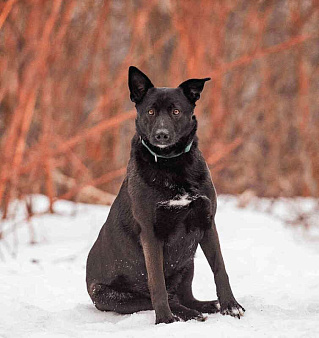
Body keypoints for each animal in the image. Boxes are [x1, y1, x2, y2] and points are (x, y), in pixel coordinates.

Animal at [86, 66, 246, 324]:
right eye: (150, 111)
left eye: (176, 111)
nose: (161, 135)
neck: (171, 164)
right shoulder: (151, 234)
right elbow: (157, 283)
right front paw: (164, 321)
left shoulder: (207, 223)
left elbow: (220, 268)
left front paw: (230, 306)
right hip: (105, 293)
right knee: (158, 298)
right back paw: (184, 313)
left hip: (188, 262)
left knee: (186, 296)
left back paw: (206, 305)